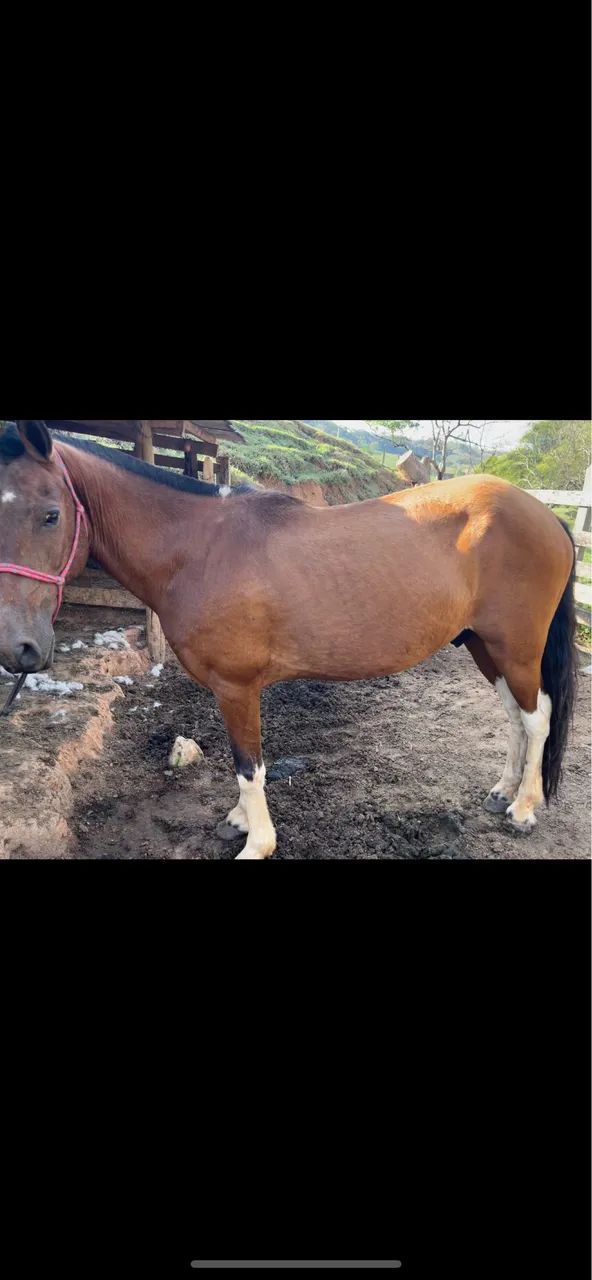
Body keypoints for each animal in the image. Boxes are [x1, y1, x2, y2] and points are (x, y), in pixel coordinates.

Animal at [0, 420, 577, 858]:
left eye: (51, 514)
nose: (17, 649)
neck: (199, 548)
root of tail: (548, 516)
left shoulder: (237, 687)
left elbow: (248, 766)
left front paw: (256, 842)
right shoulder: (230, 691)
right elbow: (242, 763)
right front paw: (238, 821)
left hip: (516, 646)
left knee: (538, 718)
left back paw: (524, 808)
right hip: (484, 645)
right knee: (515, 715)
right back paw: (502, 791)